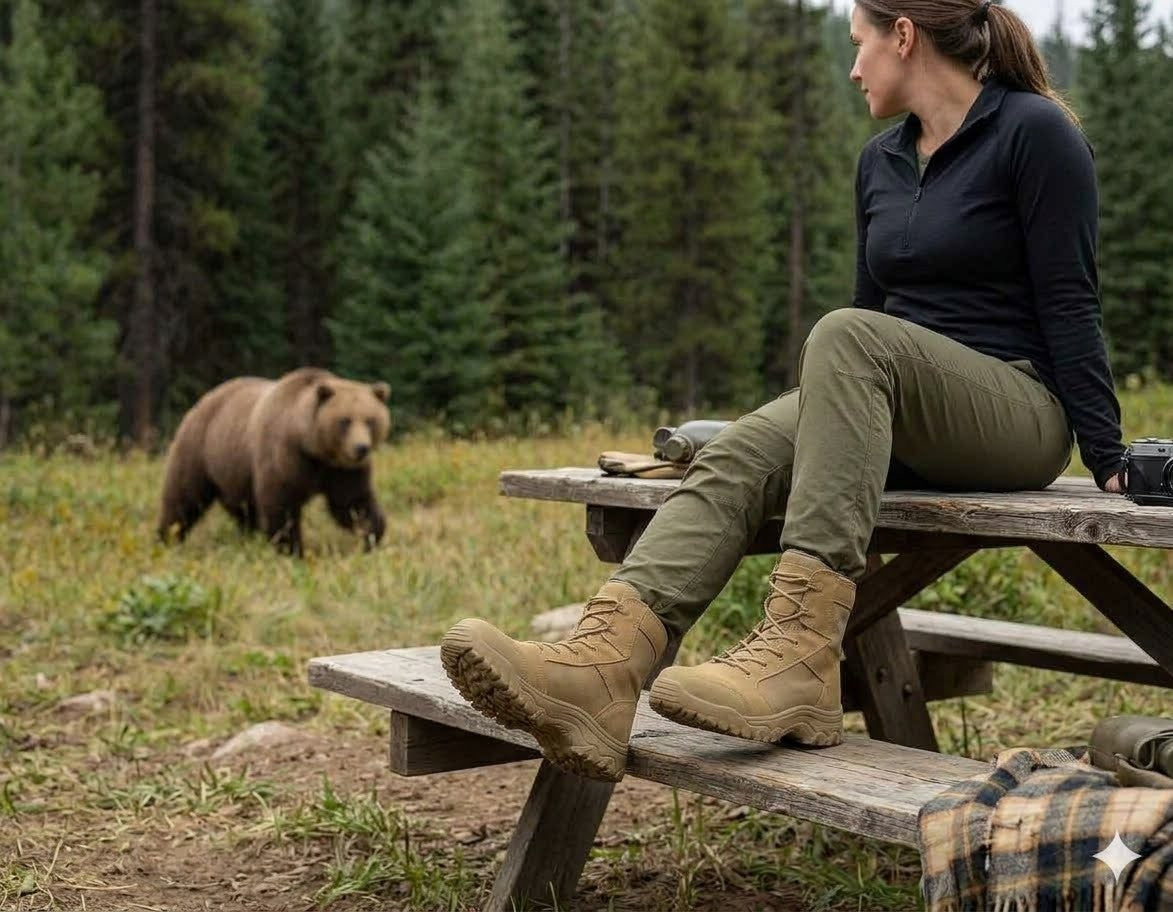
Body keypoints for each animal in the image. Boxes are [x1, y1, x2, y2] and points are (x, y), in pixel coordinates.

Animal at [157, 367, 391, 555]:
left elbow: (352, 502)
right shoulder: (284, 455)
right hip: (202, 450)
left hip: (233, 472)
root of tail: (204, 399)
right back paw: (168, 538)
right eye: (345, 421)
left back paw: (248, 537)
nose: (361, 448)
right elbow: (281, 504)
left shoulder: (341, 470)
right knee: (184, 498)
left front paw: (371, 535)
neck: (313, 447)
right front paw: (291, 549)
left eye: (370, 420)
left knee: (243, 511)